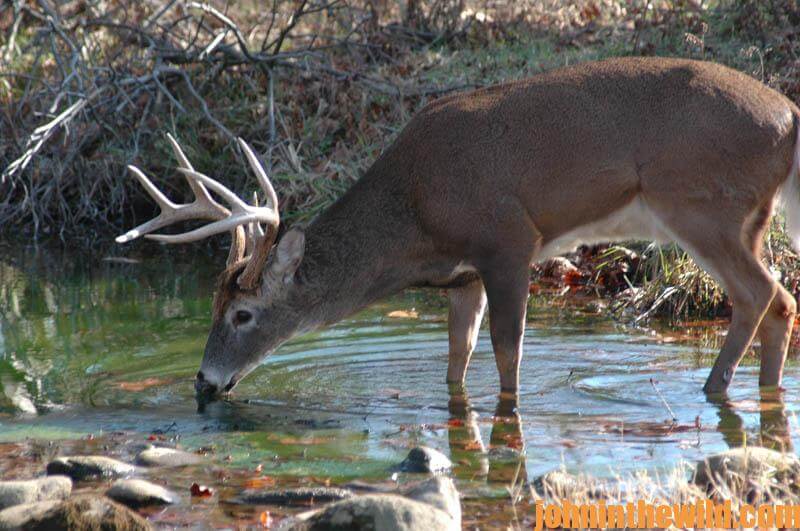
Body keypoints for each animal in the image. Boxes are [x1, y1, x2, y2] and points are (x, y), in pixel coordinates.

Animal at [117, 56, 800, 399]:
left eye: (242, 314)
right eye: (213, 304)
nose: (204, 382)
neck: (413, 217)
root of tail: (790, 116)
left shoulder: (508, 239)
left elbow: (507, 354)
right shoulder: (463, 276)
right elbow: (457, 359)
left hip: (703, 203)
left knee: (759, 293)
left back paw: (713, 389)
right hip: (742, 215)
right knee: (780, 301)